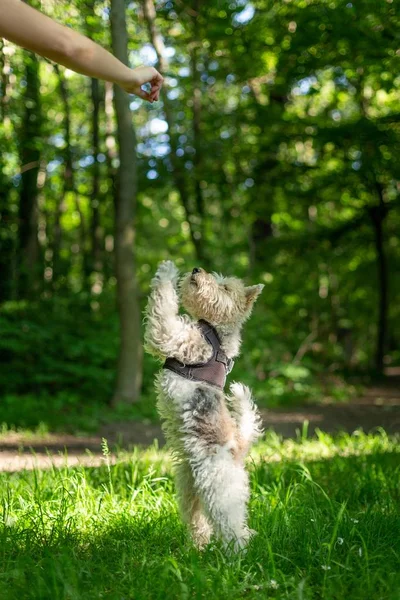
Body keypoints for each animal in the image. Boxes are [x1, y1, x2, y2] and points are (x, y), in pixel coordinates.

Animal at [145, 260, 266, 552]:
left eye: (225, 287)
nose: (196, 270)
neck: (217, 332)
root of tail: (239, 448)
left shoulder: (171, 335)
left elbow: (163, 303)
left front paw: (167, 269)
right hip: (190, 488)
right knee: (200, 523)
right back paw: (196, 550)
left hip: (219, 491)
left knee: (235, 529)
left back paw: (238, 555)